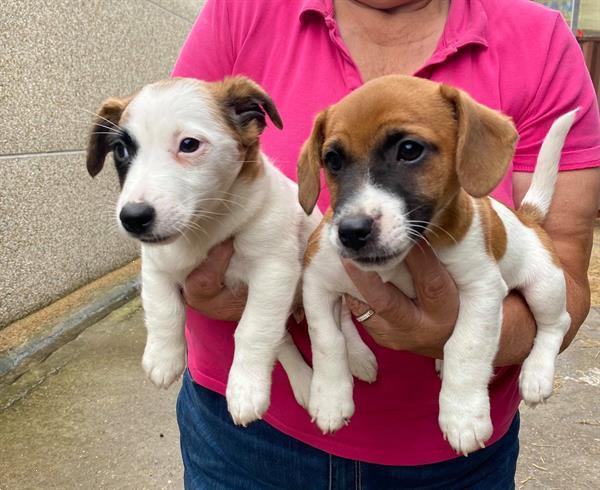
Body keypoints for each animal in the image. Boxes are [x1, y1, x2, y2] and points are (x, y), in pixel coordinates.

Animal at [85, 76, 376, 424]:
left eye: (189, 144)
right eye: (120, 150)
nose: (133, 218)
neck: (206, 227)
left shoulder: (273, 271)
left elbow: (253, 330)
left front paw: (245, 388)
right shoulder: (155, 262)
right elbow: (162, 306)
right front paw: (163, 356)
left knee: (339, 318)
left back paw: (356, 356)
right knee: (283, 338)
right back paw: (305, 382)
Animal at [298, 74, 576, 454]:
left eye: (409, 150)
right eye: (333, 160)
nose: (352, 232)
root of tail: (527, 216)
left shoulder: (482, 290)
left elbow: (466, 346)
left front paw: (463, 416)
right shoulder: (318, 281)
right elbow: (326, 339)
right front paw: (329, 399)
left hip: (544, 284)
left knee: (556, 323)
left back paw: (536, 374)